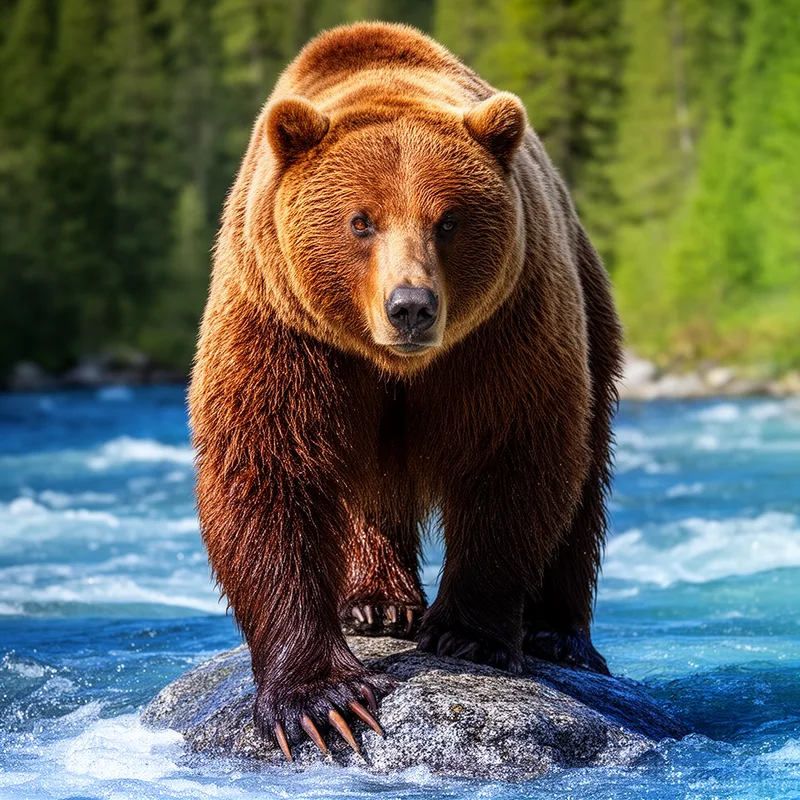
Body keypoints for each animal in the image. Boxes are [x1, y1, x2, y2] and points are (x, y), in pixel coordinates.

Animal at [188, 21, 622, 760]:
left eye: (448, 220)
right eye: (360, 221)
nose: (411, 306)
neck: (394, 365)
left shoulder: (505, 332)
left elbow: (515, 456)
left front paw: (467, 633)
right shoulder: (284, 327)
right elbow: (266, 469)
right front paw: (322, 700)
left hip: (590, 310)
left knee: (586, 469)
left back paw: (559, 633)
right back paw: (376, 600)